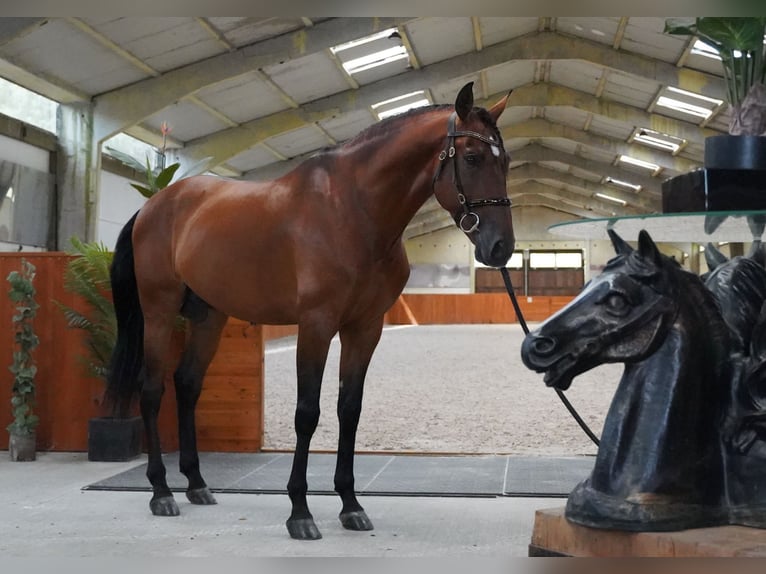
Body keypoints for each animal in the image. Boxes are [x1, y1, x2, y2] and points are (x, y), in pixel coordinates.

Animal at [106, 83, 516, 544]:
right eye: (472, 157)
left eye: (506, 161)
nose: (500, 248)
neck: (353, 212)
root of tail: (154, 205)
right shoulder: (317, 325)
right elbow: (308, 413)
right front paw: (300, 512)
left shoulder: (364, 329)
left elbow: (348, 411)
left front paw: (351, 506)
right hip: (158, 313)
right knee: (152, 390)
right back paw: (161, 492)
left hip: (209, 316)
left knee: (187, 385)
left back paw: (196, 484)